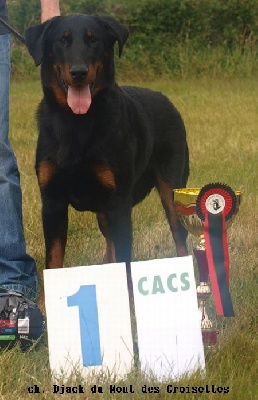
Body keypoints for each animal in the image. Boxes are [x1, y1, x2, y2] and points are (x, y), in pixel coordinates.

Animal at [25, 14, 188, 284]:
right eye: (62, 40)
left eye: (94, 40)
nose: (79, 72)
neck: (76, 123)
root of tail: (168, 102)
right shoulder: (52, 203)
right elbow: (54, 261)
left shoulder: (118, 204)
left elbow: (125, 262)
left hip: (172, 192)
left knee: (180, 239)